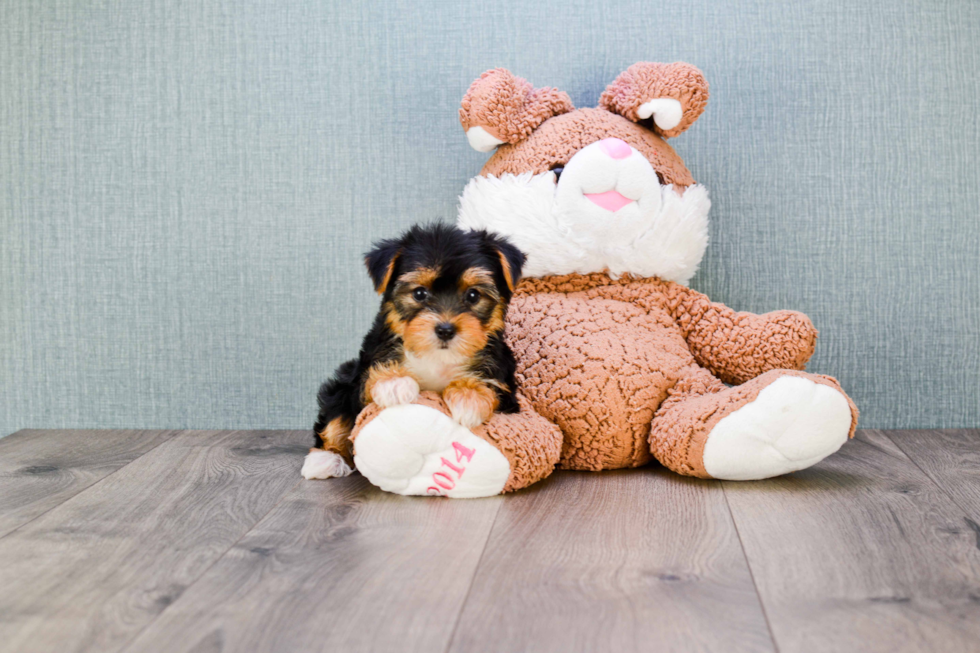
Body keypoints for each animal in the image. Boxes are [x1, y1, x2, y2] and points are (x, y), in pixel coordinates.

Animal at [300, 224, 524, 478]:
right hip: (342, 386)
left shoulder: (505, 383)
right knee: (336, 413)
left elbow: (492, 383)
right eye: (419, 293)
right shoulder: (367, 364)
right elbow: (368, 381)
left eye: (473, 295)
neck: (437, 356)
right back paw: (326, 458)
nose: (445, 330)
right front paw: (393, 383)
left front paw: (469, 397)